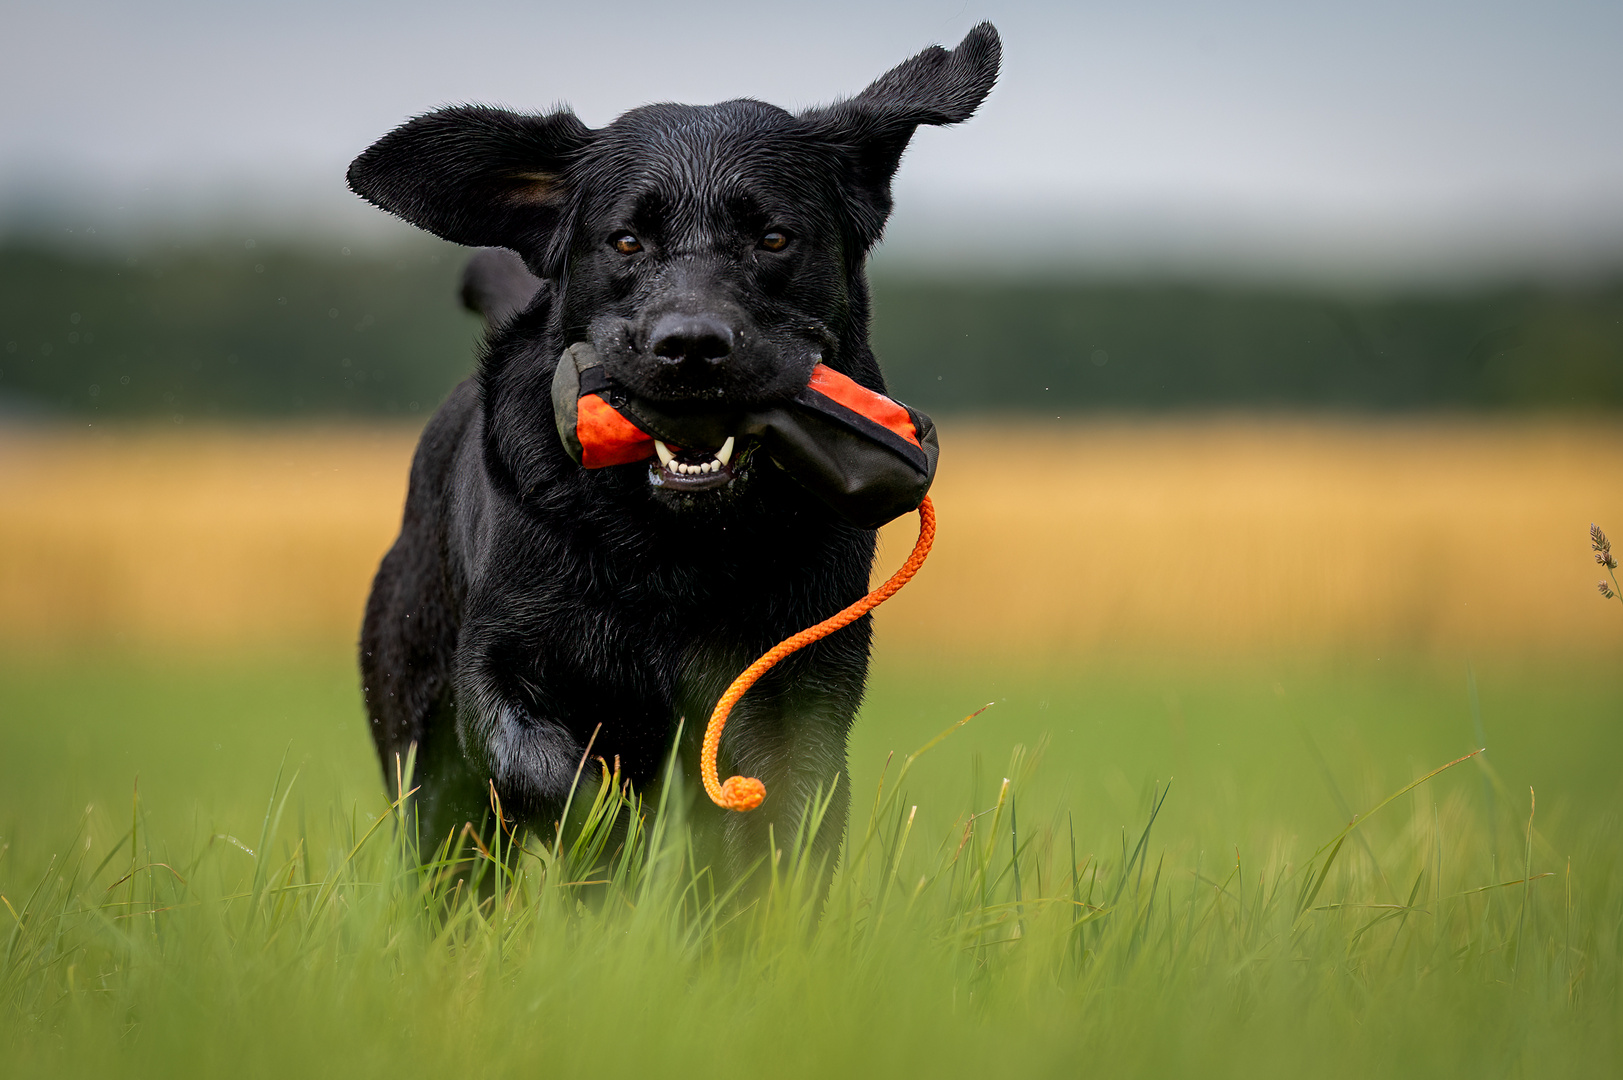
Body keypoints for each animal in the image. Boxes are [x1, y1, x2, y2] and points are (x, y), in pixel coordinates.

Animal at [348, 21, 993, 876]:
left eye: (773, 237)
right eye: (625, 240)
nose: (689, 347)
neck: (675, 551)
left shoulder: (797, 693)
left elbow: (776, 834)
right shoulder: (500, 666)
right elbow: (550, 774)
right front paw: (617, 852)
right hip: (424, 760)